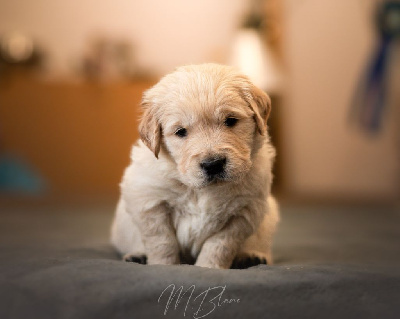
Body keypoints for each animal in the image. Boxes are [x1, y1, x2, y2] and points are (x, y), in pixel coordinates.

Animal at [109, 63, 278, 268]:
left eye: (230, 120)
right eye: (181, 132)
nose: (213, 164)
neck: (201, 189)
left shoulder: (245, 211)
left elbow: (220, 244)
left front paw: (209, 266)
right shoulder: (149, 201)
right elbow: (162, 241)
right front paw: (163, 265)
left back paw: (251, 256)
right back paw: (137, 255)